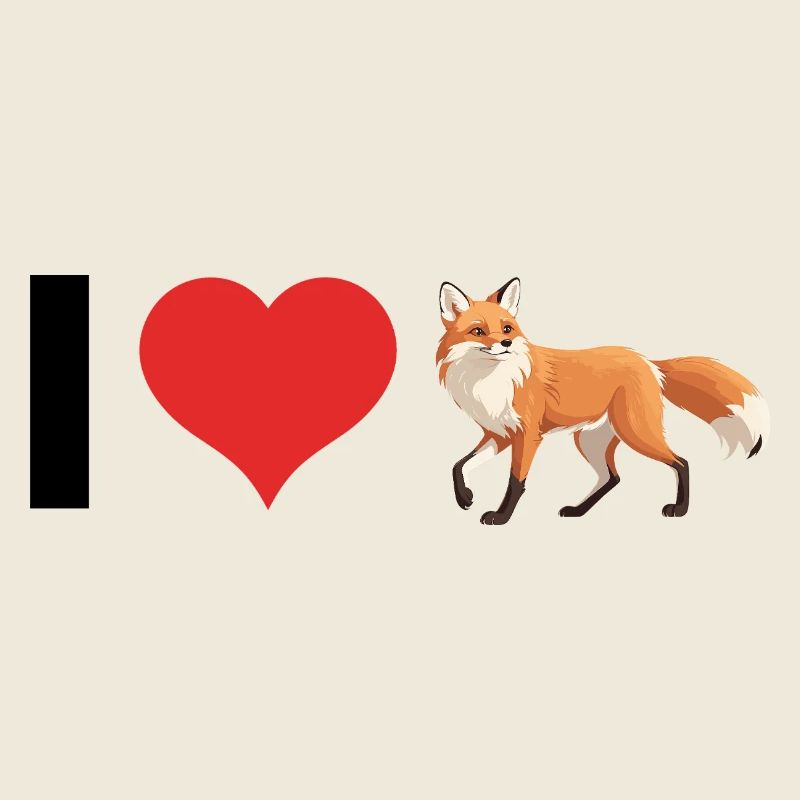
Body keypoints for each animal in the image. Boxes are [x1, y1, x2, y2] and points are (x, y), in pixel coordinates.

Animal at [437, 278, 769, 524]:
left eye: (507, 328)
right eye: (479, 331)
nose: (505, 343)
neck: (491, 380)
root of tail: (646, 360)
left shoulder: (527, 435)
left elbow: (515, 481)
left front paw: (501, 516)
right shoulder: (500, 434)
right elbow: (458, 465)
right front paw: (465, 497)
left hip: (636, 432)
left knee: (681, 462)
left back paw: (680, 510)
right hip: (591, 440)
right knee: (613, 478)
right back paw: (578, 511)